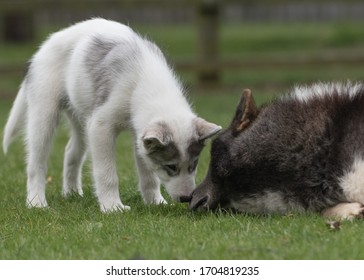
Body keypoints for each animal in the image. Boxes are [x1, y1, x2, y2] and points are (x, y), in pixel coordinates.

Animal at [2, 18, 220, 212]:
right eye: (171, 167)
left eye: (194, 165)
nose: (186, 198)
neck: (145, 82)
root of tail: (45, 45)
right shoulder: (101, 127)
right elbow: (107, 173)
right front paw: (112, 207)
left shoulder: (139, 136)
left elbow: (148, 175)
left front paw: (155, 202)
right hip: (44, 113)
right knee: (36, 163)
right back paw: (36, 202)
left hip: (81, 118)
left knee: (71, 151)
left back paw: (72, 194)